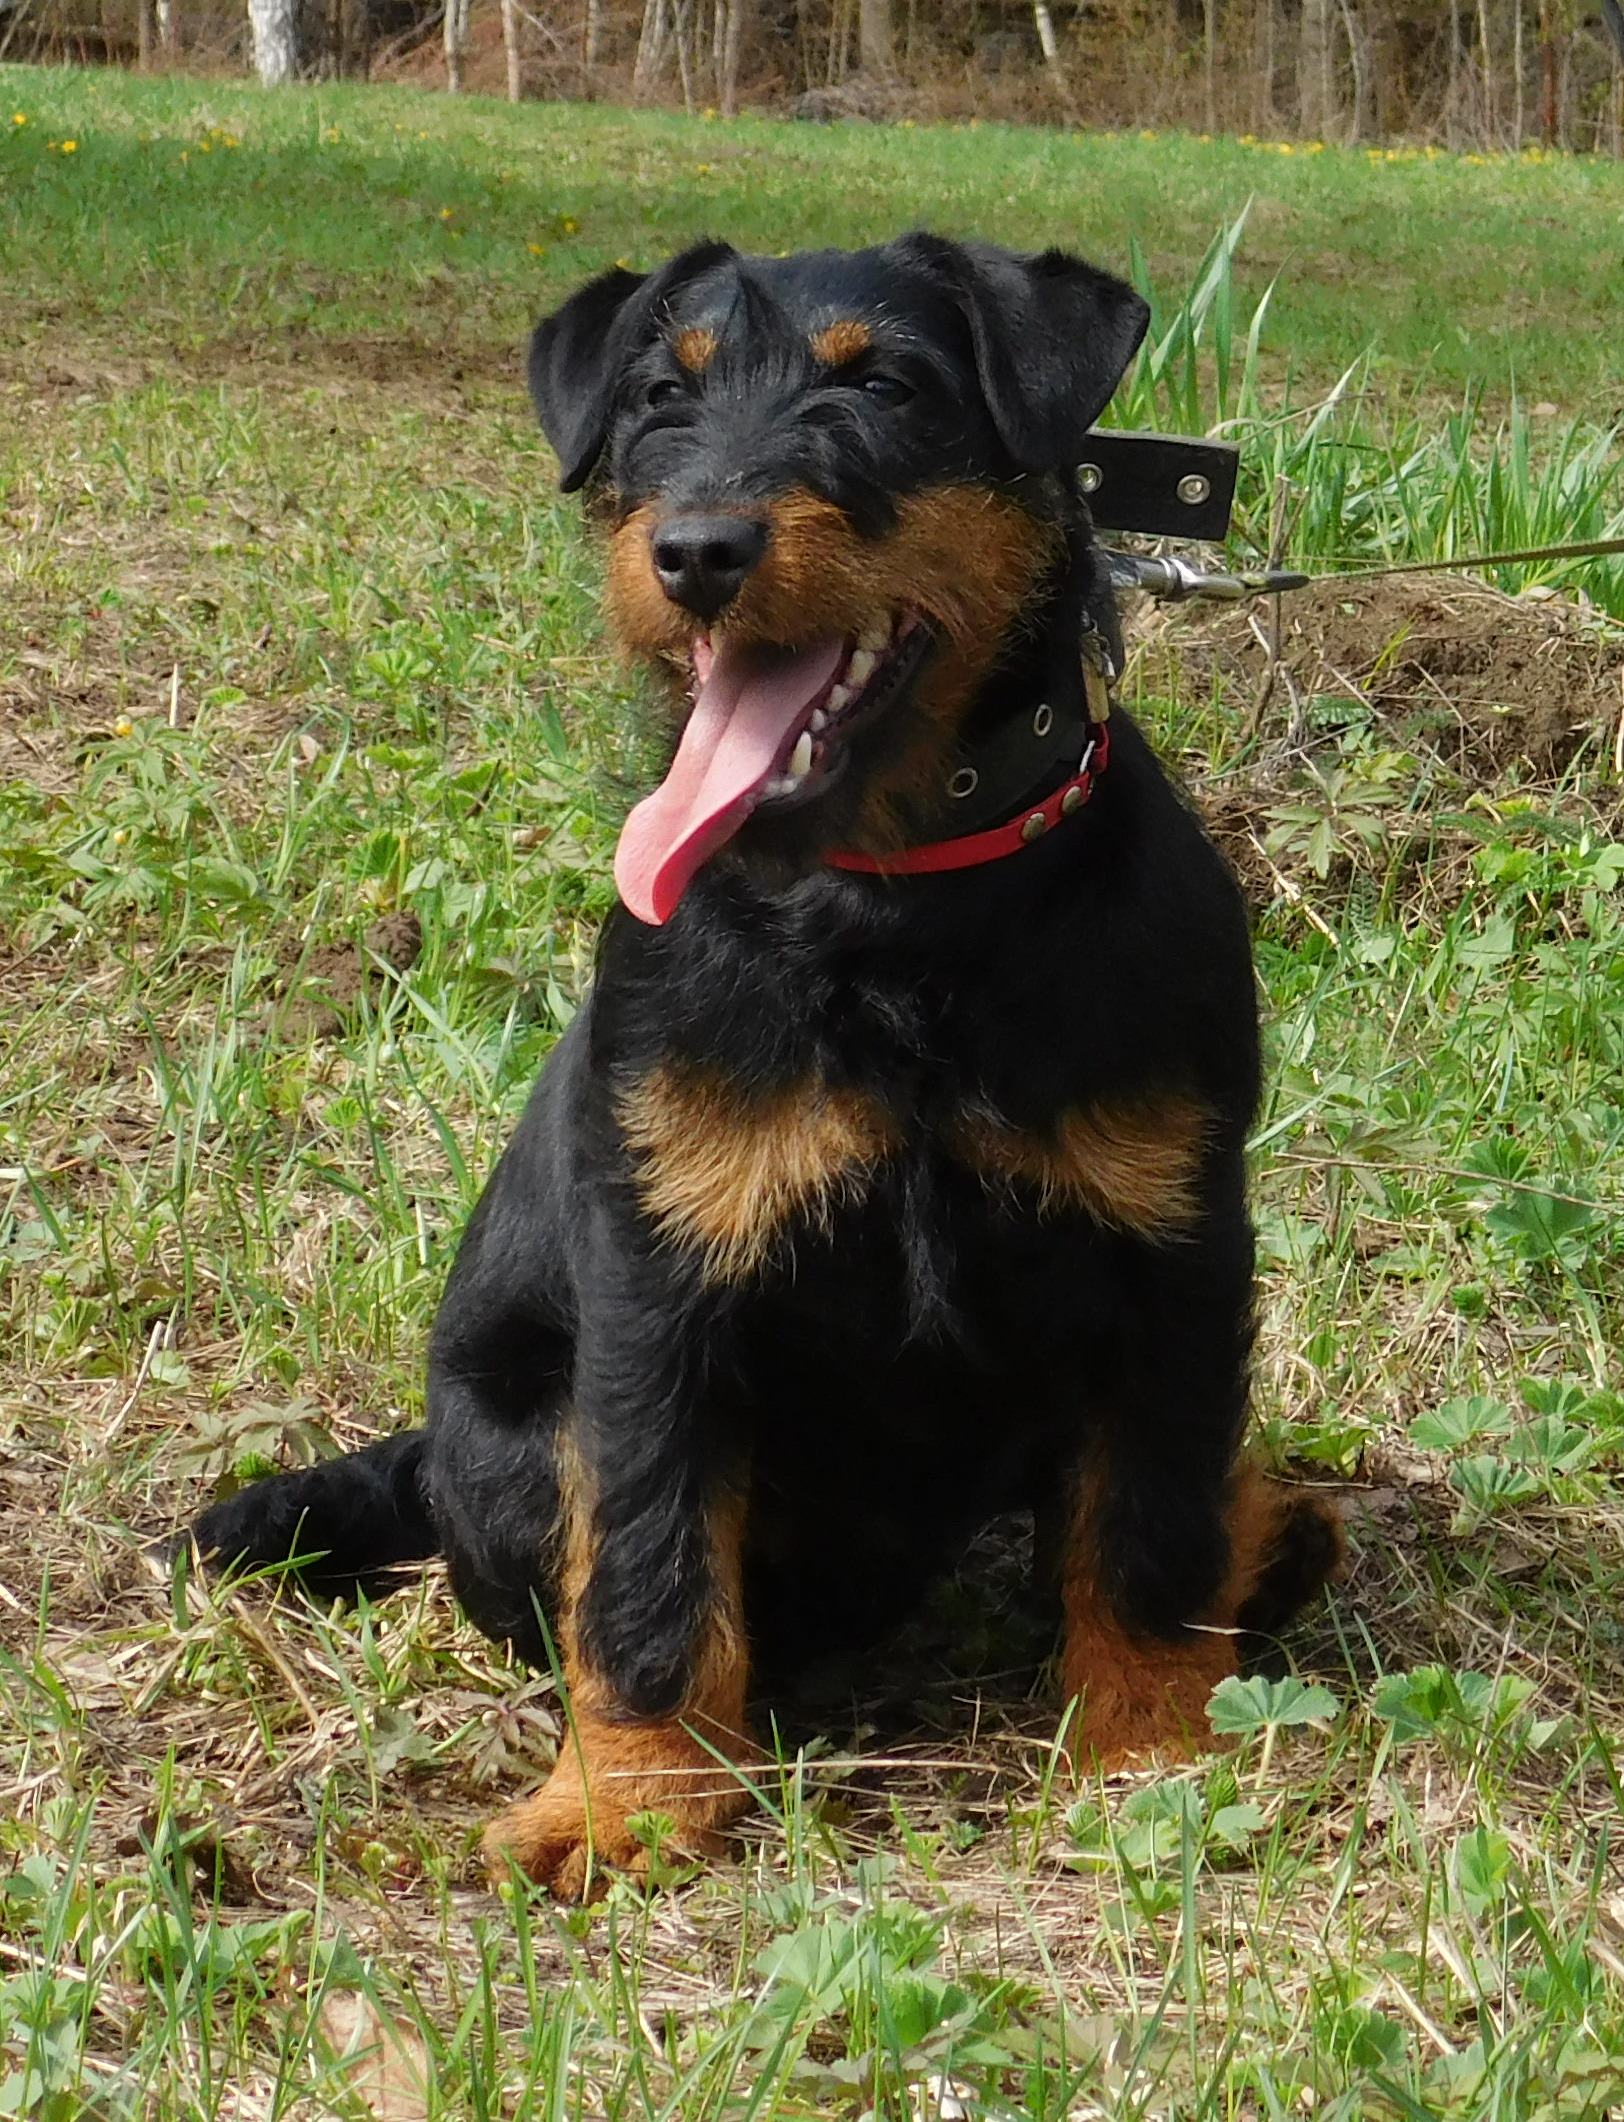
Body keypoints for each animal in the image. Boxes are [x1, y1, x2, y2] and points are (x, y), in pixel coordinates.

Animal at [182, 233, 1340, 1900]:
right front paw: (630, 1801)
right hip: (521, 1440)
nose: (698, 551)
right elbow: (652, 1562)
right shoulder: (661, 1285)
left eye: (885, 385)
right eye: (662, 396)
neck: (893, 906)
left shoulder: (1169, 1249)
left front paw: (1148, 1751)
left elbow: (1148, 1517)